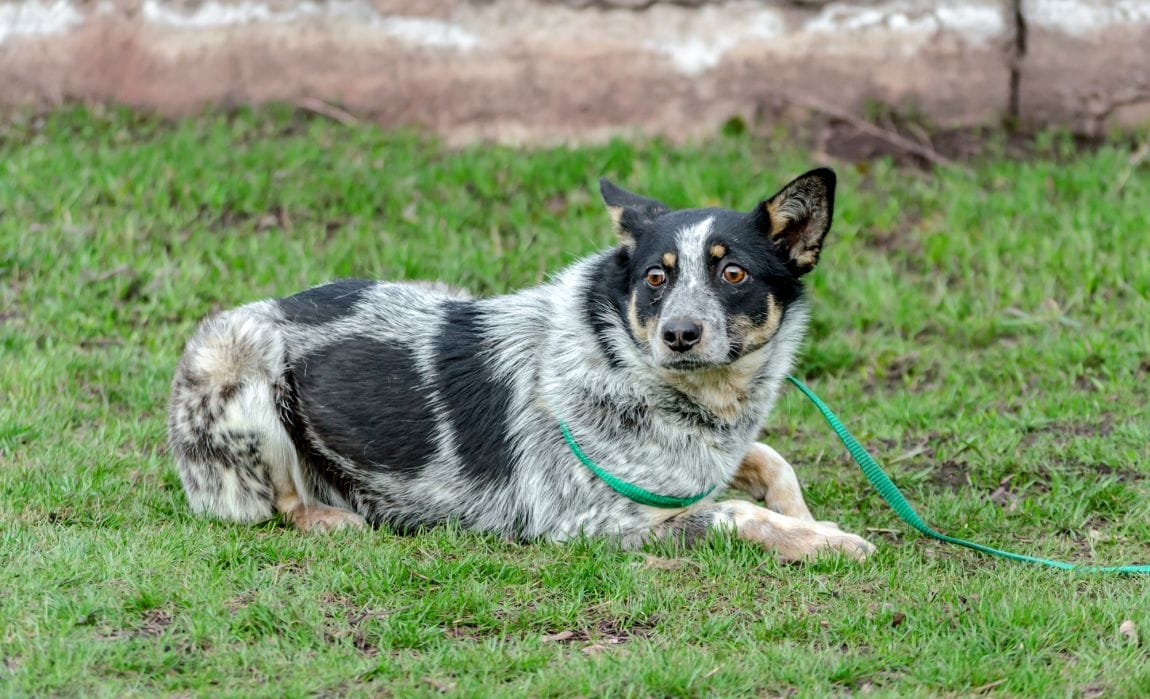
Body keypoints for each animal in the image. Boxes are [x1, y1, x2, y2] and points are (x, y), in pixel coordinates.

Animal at [167, 169, 869, 563]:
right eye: (655, 278)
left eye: (733, 274)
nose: (679, 335)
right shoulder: (587, 524)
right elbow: (736, 513)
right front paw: (827, 542)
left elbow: (771, 461)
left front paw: (808, 520)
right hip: (238, 359)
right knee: (283, 501)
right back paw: (335, 519)